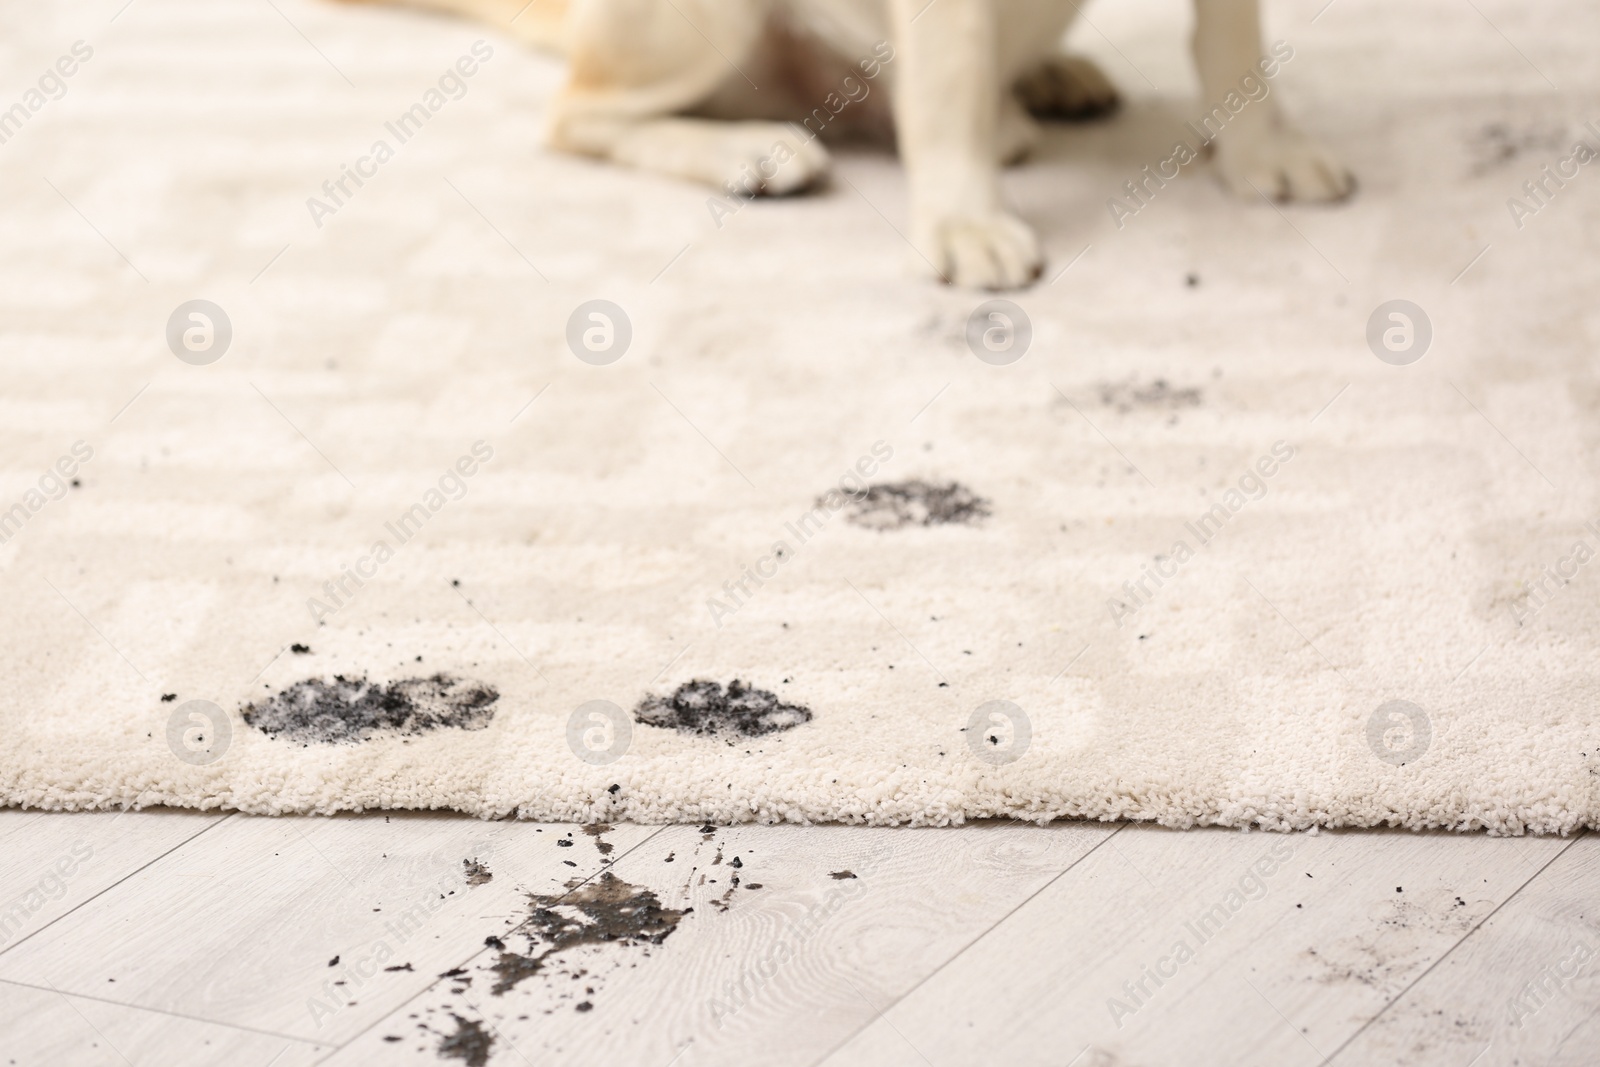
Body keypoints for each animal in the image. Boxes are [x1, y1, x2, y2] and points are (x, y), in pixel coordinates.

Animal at [334, 0, 1350, 289]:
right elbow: (947, 87)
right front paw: (964, 223)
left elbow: (1233, 44)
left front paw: (1259, 149)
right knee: (575, 115)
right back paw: (749, 149)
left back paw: (1044, 87)